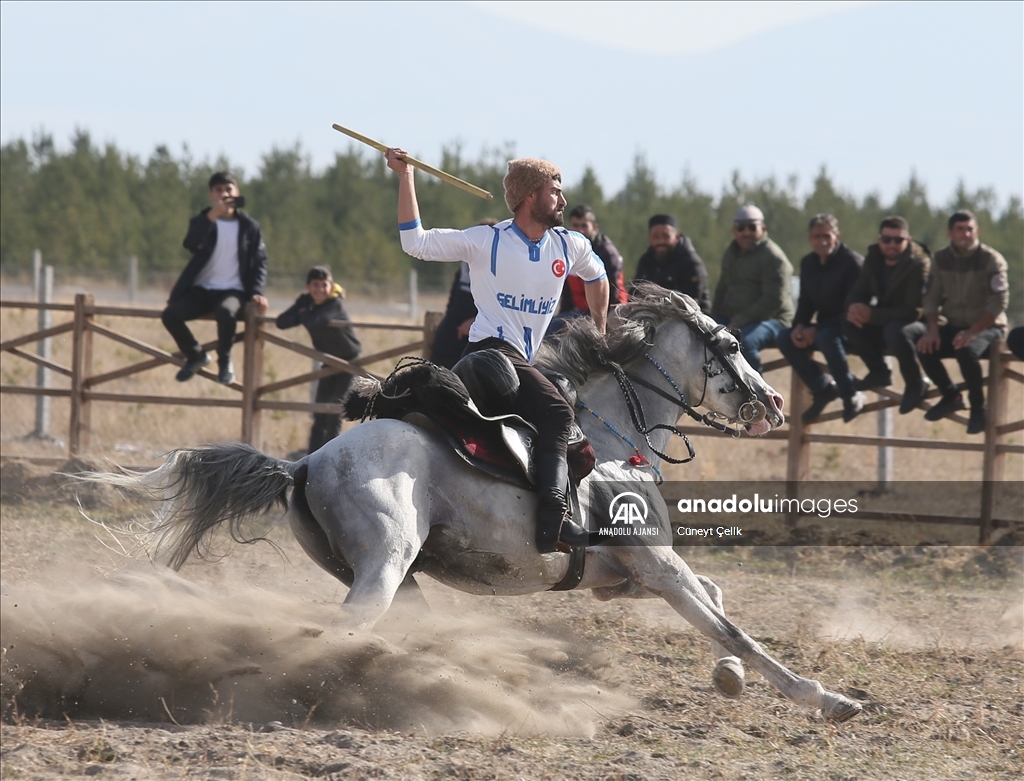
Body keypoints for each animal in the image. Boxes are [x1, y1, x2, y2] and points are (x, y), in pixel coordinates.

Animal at [92, 284, 864, 724]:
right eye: (730, 344)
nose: (772, 402)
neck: (616, 438)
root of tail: (308, 462)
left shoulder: (627, 577)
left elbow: (719, 600)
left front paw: (730, 679)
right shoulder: (657, 566)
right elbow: (736, 629)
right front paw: (827, 698)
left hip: (391, 579)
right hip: (381, 572)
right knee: (326, 634)